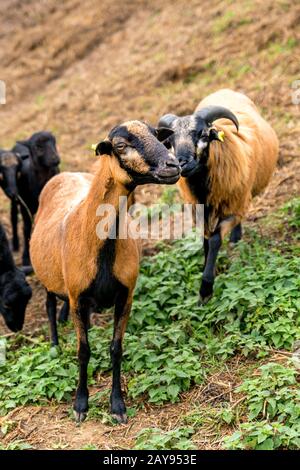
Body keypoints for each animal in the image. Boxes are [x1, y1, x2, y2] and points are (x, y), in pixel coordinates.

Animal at [29, 121, 180, 422]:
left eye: (157, 136)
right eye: (120, 146)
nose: (173, 166)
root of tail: (68, 173)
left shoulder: (126, 296)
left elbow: (116, 349)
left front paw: (117, 405)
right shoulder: (77, 297)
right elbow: (83, 351)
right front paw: (80, 404)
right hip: (49, 280)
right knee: (50, 306)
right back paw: (54, 347)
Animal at [159, 89, 278, 302]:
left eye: (203, 134)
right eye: (170, 142)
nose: (181, 164)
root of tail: (226, 90)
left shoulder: (231, 207)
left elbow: (214, 240)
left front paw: (205, 288)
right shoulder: (200, 211)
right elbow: (206, 240)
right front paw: (207, 266)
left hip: (241, 198)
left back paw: (235, 238)